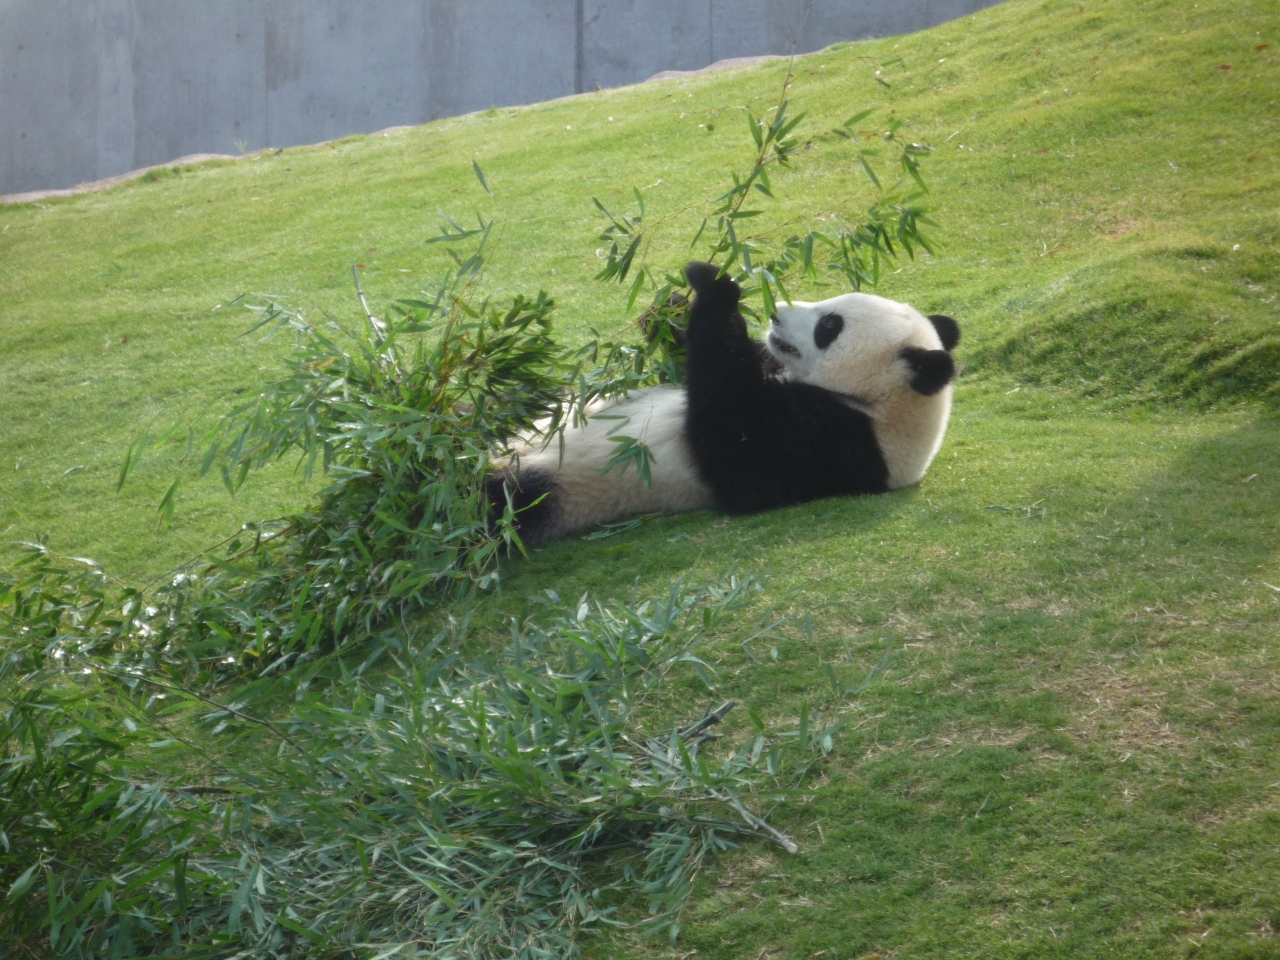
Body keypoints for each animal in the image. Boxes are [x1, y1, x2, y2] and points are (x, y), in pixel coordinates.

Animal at [483, 263, 957, 547]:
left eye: (829, 325)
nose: (775, 312)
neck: (879, 405)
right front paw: (670, 308)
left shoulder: (833, 445)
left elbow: (730, 434)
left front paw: (715, 286)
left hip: (549, 490)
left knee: (498, 504)